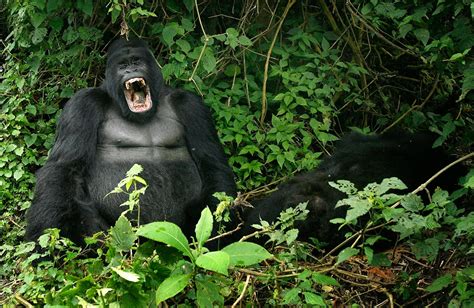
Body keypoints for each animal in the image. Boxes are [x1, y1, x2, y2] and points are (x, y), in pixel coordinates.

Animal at [25, 38, 236, 244]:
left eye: (136, 62)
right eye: (122, 65)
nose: (130, 71)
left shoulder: (191, 105)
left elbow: (212, 165)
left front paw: (219, 230)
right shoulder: (83, 103)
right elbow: (65, 168)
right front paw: (45, 237)